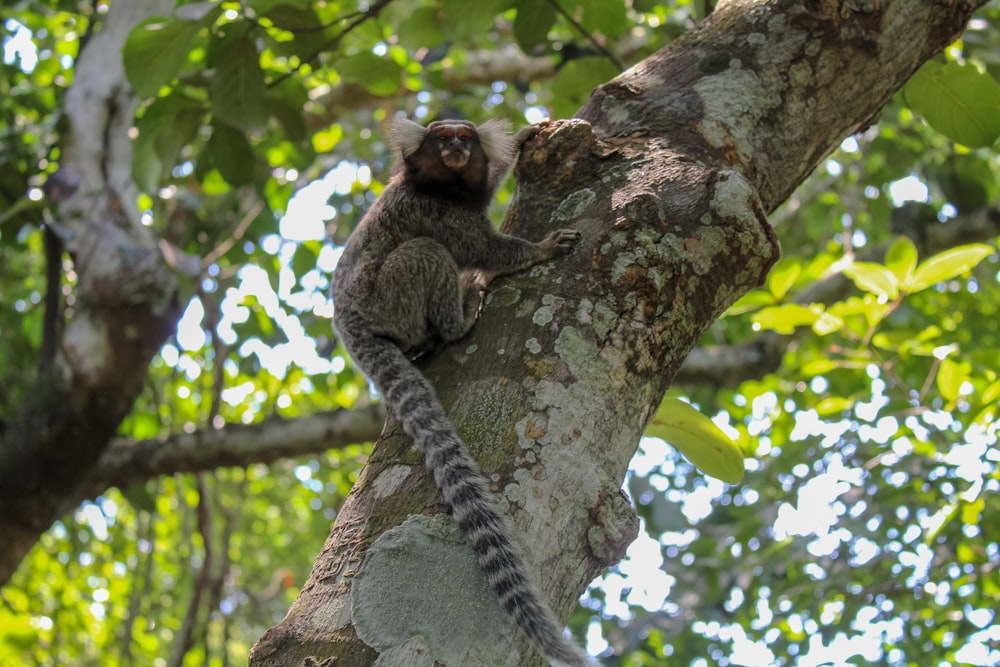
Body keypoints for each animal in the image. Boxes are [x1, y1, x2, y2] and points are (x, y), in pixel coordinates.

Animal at [330, 117, 592, 664]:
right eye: (441, 138)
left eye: (464, 138)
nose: (453, 148)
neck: (442, 186)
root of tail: (350, 324)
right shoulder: (438, 212)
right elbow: (483, 249)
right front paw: (540, 248)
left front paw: (525, 141)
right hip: (390, 299)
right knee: (428, 253)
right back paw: (458, 319)